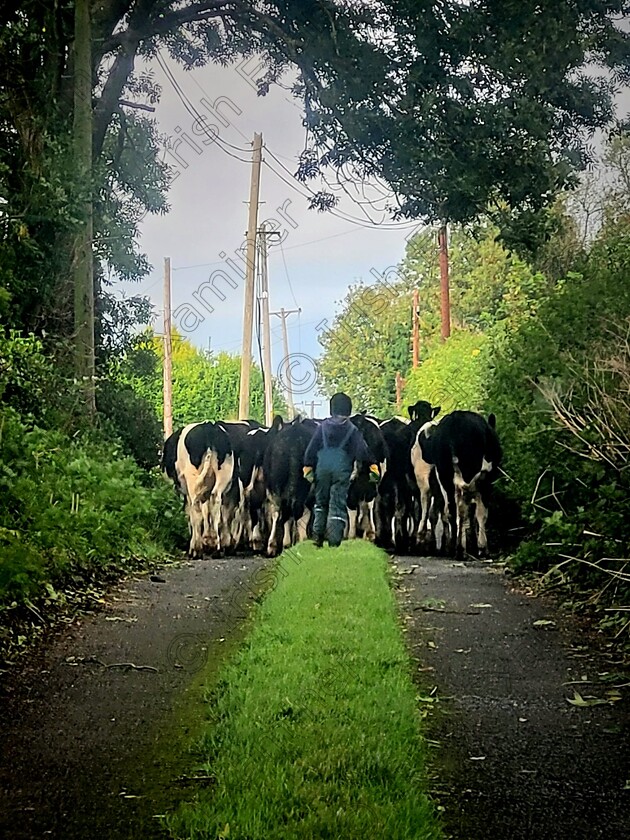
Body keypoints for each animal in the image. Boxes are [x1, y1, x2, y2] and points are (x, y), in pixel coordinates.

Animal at [414, 408, 504, 556]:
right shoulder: (486, 481)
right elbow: (481, 513)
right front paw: (481, 547)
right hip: (468, 474)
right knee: (460, 509)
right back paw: (460, 548)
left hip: (440, 476)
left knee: (444, 509)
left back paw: (450, 546)